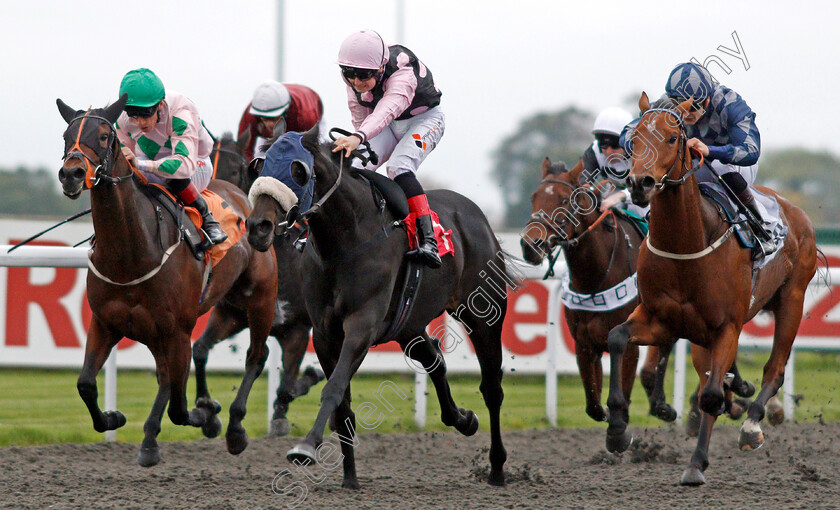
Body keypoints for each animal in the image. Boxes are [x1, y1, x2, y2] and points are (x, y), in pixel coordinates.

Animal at [197, 130, 324, 434]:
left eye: (235, 169)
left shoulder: (297, 329)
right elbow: (202, 349)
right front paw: (206, 411)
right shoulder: (231, 315)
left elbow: (287, 386)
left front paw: (281, 415)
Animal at [243, 125, 506, 488]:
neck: (345, 241)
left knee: (492, 388)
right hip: (409, 325)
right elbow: (342, 405)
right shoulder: (325, 334)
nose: (258, 227)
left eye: (298, 170)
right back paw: (463, 420)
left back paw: (497, 468)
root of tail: (477, 216)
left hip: (483, 314)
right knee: (435, 361)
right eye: (259, 165)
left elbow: (334, 388)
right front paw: (350, 479)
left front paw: (306, 447)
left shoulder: (361, 326)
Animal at [520, 158, 676, 422]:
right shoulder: (585, 344)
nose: (531, 245)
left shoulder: (629, 345)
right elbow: (593, 404)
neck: (595, 279)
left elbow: (622, 400)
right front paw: (603, 412)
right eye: (534, 197)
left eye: (564, 200)